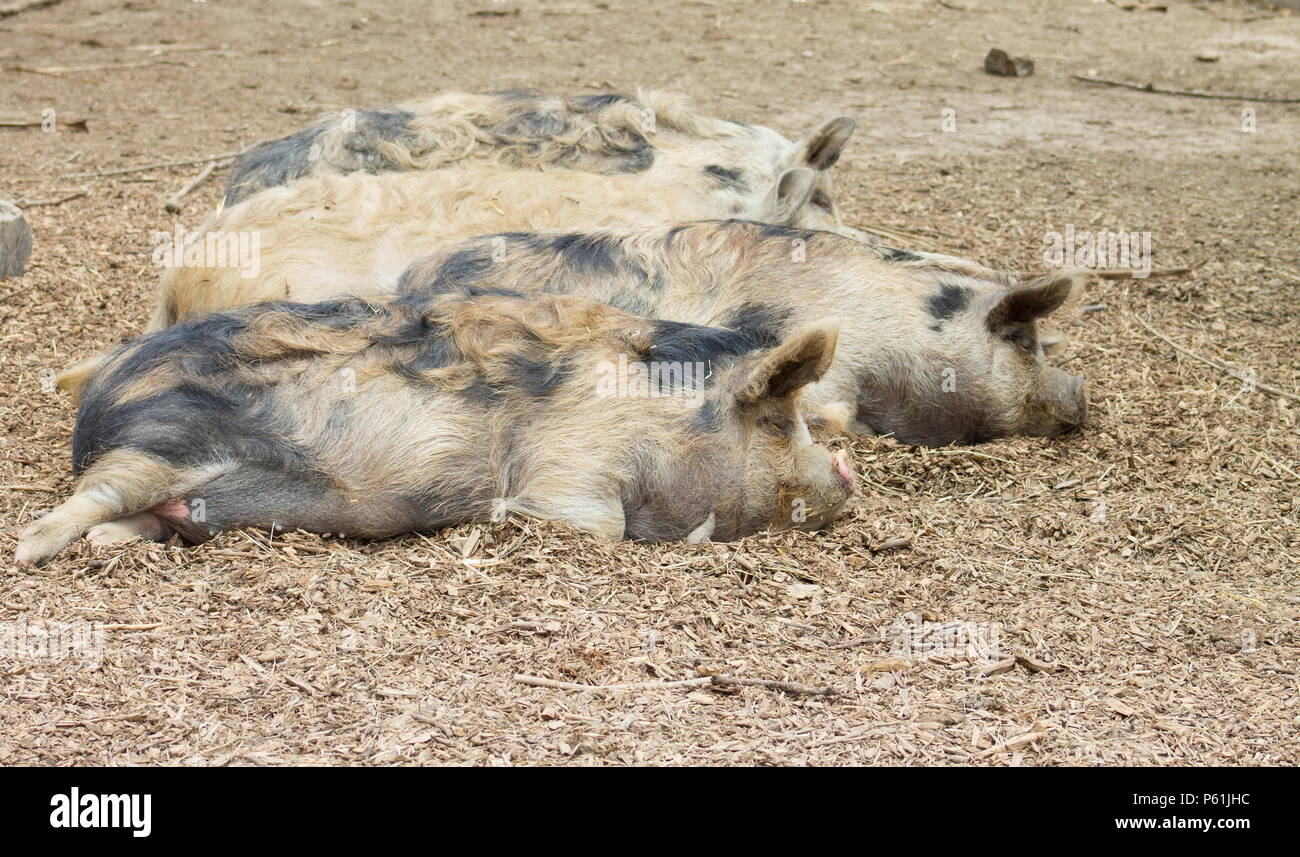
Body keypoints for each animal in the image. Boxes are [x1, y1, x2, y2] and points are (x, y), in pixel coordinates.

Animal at [16, 291, 855, 566]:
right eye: (776, 420)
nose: (847, 473)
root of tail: (102, 395)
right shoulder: (569, 466)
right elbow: (596, 524)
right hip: (167, 442)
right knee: (88, 500)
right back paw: (35, 551)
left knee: (139, 520)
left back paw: (108, 545)